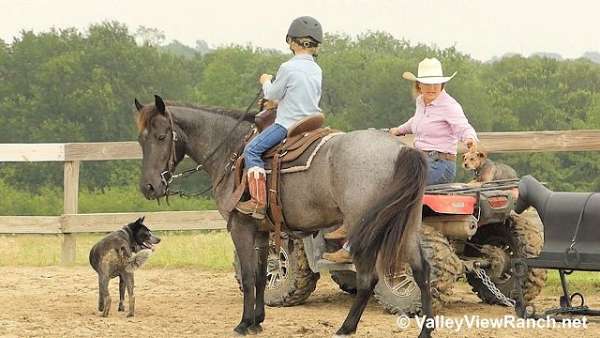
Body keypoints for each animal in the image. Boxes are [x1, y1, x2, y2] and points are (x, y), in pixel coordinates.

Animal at [134, 95, 434, 338]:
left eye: (161, 136)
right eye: (140, 139)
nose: (149, 187)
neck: (232, 151)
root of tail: (401, 149)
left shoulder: (240, 228)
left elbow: (247, 276)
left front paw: (243, 324)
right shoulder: (262, 230)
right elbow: (259, 275)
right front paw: (257, 321)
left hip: (365, 226)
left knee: (368, 278)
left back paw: (346, 328)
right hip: (407, 225)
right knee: (422, 270)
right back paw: (425, 331)